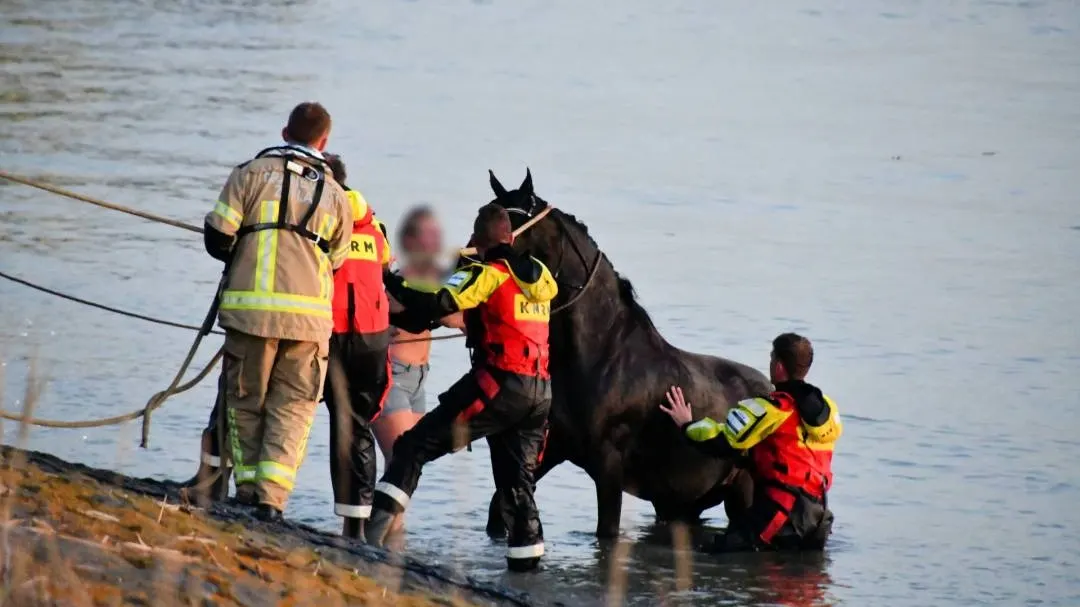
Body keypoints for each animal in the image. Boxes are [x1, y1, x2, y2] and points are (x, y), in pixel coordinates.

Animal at [482, 169, 773, 539]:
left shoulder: (608, 465)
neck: (600, 355)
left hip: (741, 492)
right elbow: (499, 507)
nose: (473, 259)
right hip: (682, 503)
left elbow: (607, 530)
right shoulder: (557, 447)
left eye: (519, 222)